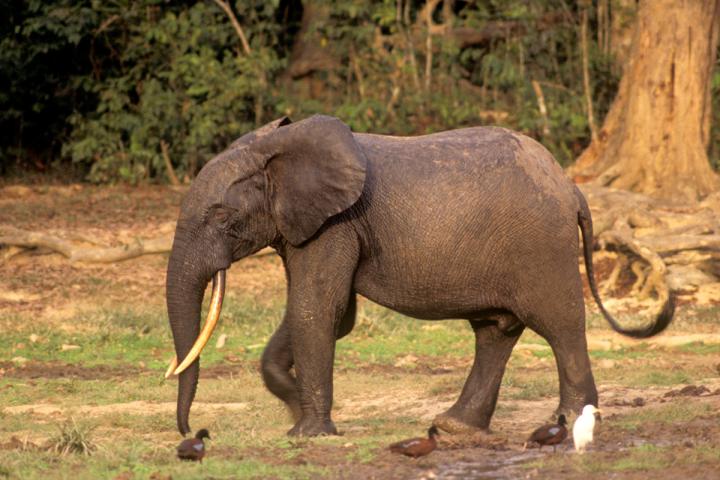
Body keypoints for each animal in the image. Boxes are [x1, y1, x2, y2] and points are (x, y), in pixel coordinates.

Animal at [165, 114, 676, 436]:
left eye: (219, 215)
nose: (192, 431)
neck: (276, 150)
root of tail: (571, 187)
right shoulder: (307, 226)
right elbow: (331, 313)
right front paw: (295, 410)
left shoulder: (337, 224)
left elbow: (317, 308)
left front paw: (306, 432)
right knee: (495, 331)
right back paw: (453, 427)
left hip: (542, 246)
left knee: (559, 324)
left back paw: (569, 423)